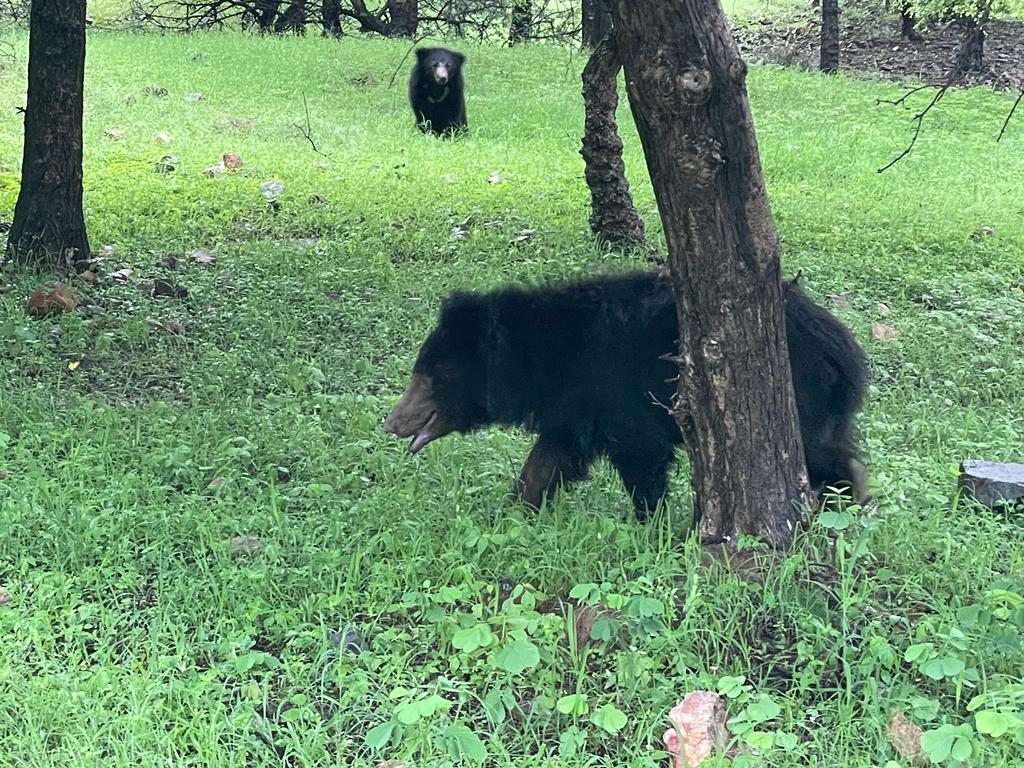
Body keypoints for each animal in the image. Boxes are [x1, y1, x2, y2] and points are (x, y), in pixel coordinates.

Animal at [384, 271, 867, 521]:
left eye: (428, 377)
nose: (391, 422)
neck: (541, 358)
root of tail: (842, 346)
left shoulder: (617, 394)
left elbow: (642, 459)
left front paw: (651, 524)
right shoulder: (576, 408)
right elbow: (549, 460)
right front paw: (513, 511)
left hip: (802, 394)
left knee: (822, 454)